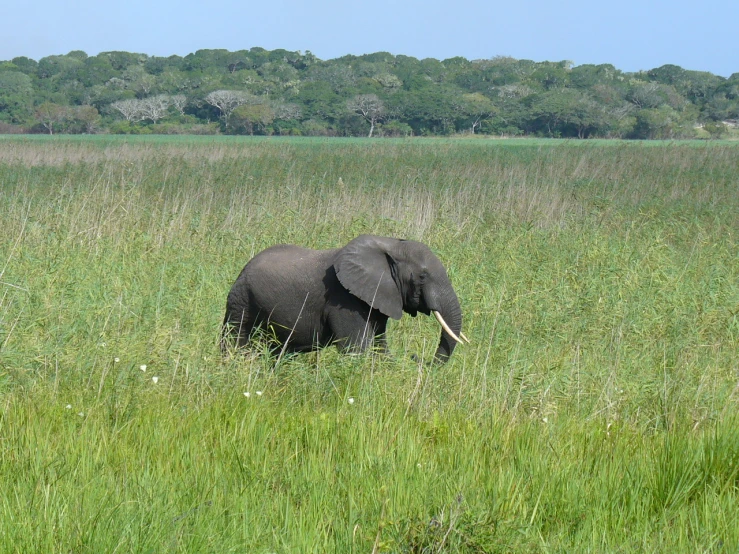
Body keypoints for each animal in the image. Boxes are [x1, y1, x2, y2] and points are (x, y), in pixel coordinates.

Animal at [223, 233, 472, 362]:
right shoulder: (345, 300)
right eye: (422, 277)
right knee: (235, 340)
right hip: (242, 299)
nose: (413, 357)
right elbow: (356, 349)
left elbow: (379, 346)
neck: (389, 244)